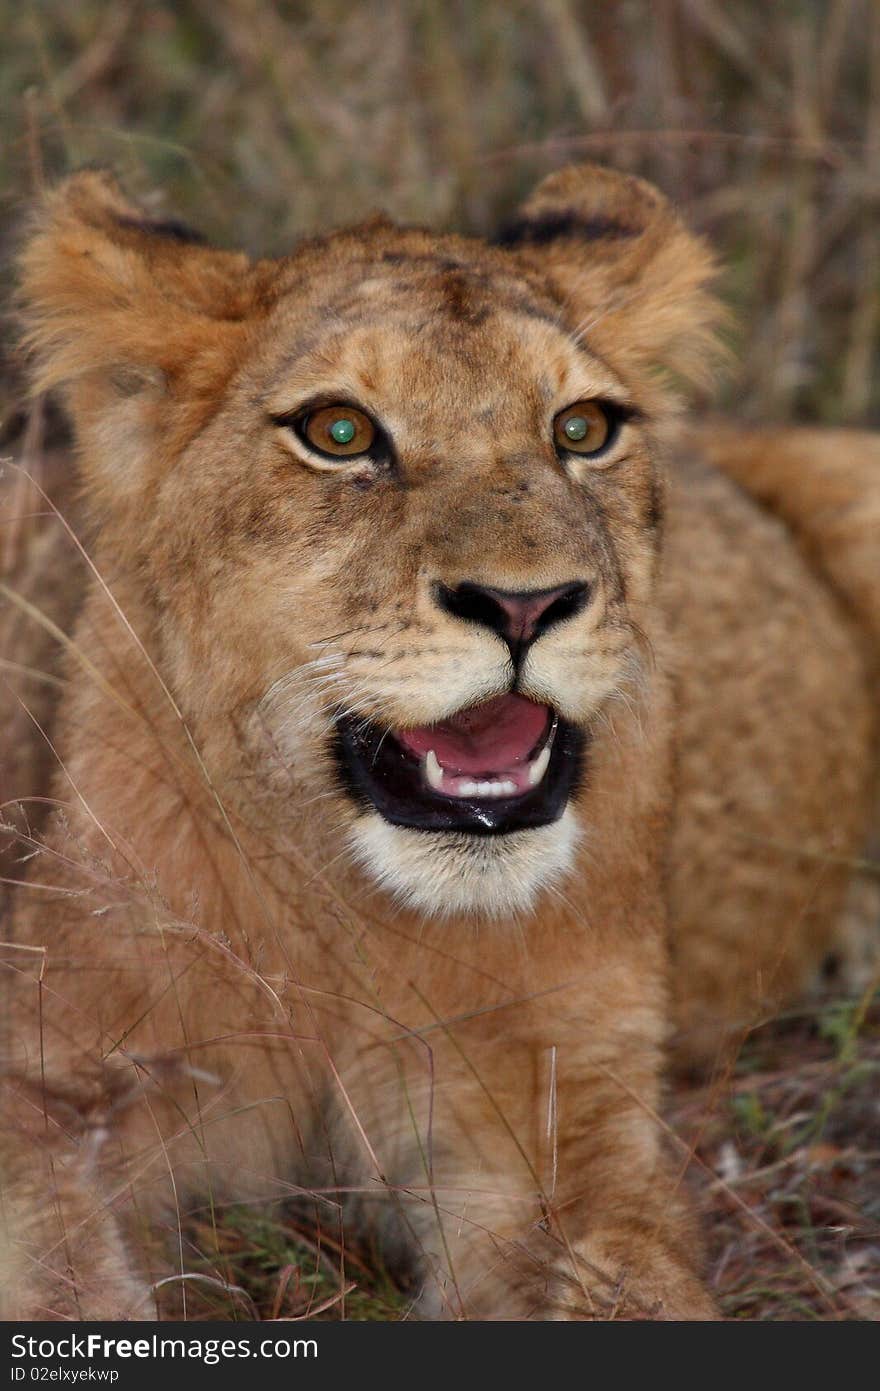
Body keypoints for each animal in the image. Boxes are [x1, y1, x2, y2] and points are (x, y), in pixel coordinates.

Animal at [0, 162, 873, 1313]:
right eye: (338, 432)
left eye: (583, 429)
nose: (525, 604)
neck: (349, 916)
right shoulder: (49, 1084)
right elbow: (63, 1274)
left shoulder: (563, 1125)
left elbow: (633, 1283)